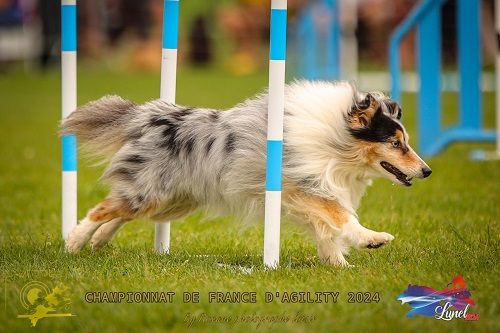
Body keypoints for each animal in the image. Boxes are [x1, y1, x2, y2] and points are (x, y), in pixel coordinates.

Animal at [61, 80, 430, 264]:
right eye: (396, 143)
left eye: (406, 142)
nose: (427, 171)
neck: (336, 140)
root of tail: (150, 116)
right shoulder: (304, 186)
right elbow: (341, 216)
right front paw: (372, 239)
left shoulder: (311, 194)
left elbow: (327, 230)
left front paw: (338, 265)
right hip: (153, 191)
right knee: (103, 208)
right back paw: (75, 242)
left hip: (173, 199)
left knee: (122, 210)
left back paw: (99, 241)